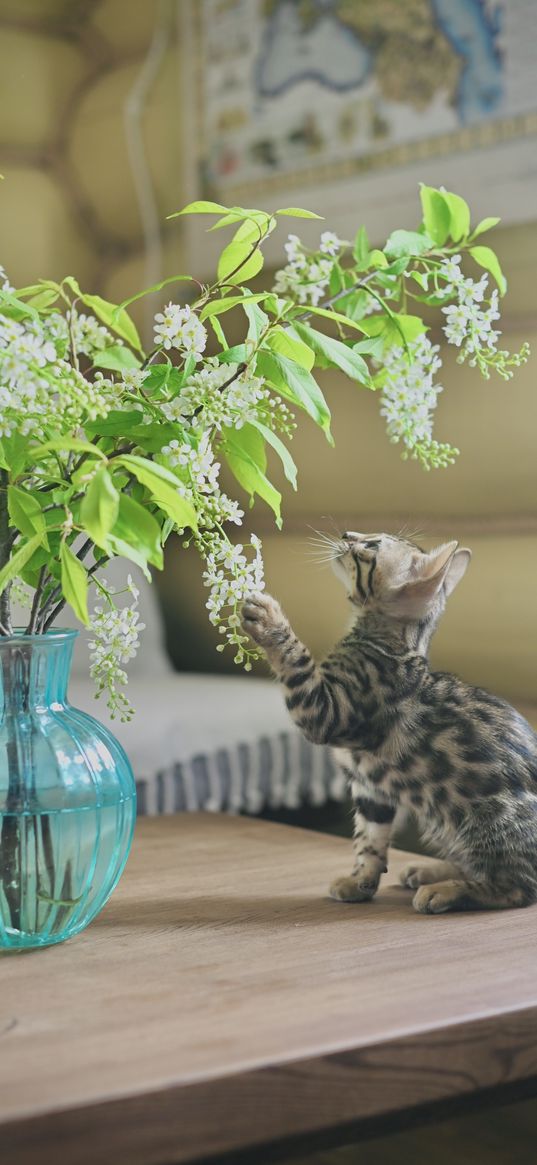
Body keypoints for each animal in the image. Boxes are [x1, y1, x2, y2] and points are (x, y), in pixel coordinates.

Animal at [241, 533, 535, 913]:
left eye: (372, 546)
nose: (347, 535)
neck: (389, 641)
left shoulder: (326, 712)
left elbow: (296, 659)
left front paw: (271, 621)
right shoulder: (371, 789)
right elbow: (369, 840)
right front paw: (360, 882)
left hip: (486, 819)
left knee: (517, 886)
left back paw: (447, 890)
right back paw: (429, 870)